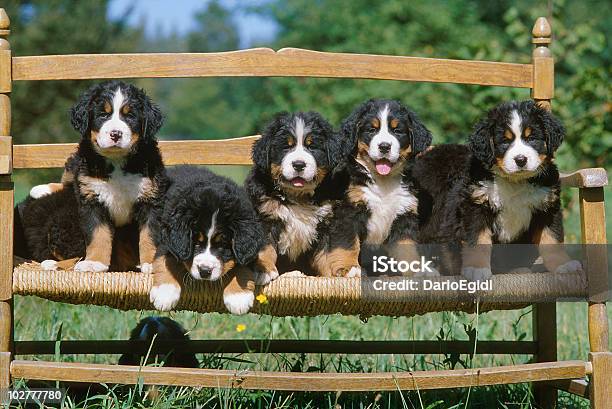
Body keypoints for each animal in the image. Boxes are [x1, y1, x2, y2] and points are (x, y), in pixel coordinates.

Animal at [149, 164, 266, 314]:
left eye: (223, 245)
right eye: (195, 243)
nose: (205, 271)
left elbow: (242, 265)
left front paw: (238, 296)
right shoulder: (169, 240)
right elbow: (165, 260)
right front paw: (165, 292)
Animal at [244, 111, 354, 280]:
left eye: (312, 146)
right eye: (286, 147)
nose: (299, 164)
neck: (298, 196)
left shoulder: (329, 221)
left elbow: (329, 252)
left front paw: (337, 274)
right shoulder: (264, 216)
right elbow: (265, 248)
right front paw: (264, 270)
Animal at [416, 99, 584, 278]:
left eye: (531, 138)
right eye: (505, 141)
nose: (520, 159)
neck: (515, 182)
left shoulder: (547, 207)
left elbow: (552, 239)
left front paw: (563, 264)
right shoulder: (475, 205)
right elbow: (478, 242)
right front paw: (476, 269)